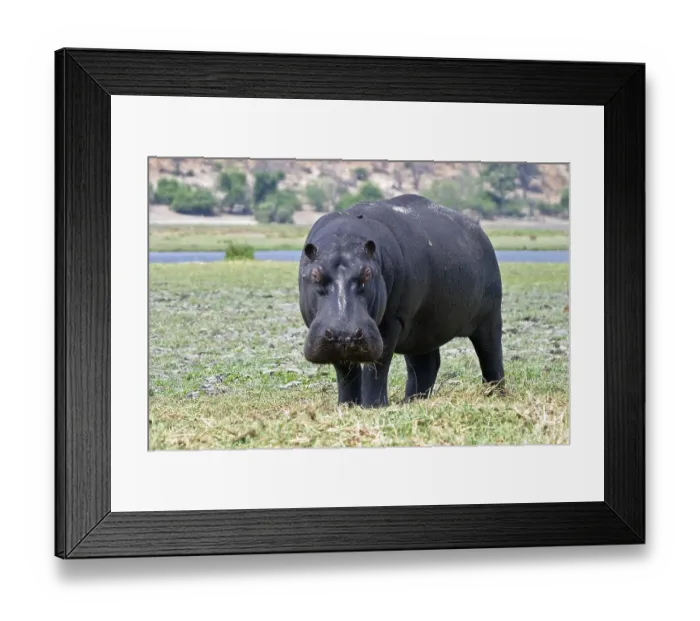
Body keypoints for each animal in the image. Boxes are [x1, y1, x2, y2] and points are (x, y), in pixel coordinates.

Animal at [298, 194, 505, 408]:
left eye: (367, 273)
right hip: (423, 329)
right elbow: (345, 371)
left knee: (491, 355)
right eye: (315, 274)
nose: (344, 334)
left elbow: (377, 366)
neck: (344, 239)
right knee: (425, 364)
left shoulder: (391, 320)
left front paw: (373, 405)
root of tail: (480, 231)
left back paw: (495, 394)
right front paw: (347, 405)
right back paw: (412, 400)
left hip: (489, 318)